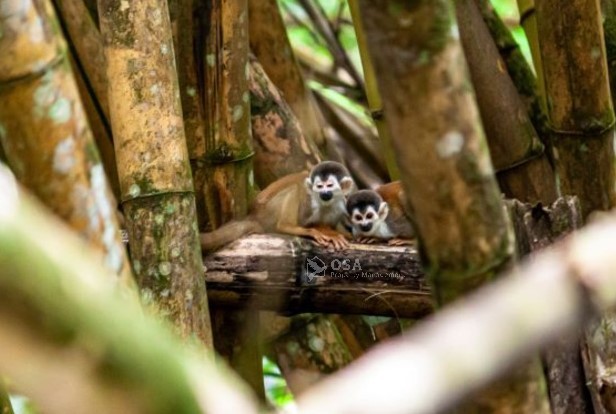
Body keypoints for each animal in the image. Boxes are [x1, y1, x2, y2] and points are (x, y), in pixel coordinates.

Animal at [201, 161, 356, 252]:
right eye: (319, 186)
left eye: (329, 186)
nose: (324, 193)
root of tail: (254, 216)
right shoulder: (310, 200)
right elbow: (305, 217)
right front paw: (329, 233)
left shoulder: (343, 202)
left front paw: (344, 233)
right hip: (269, 213)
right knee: (295, 188)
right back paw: (288, 226)